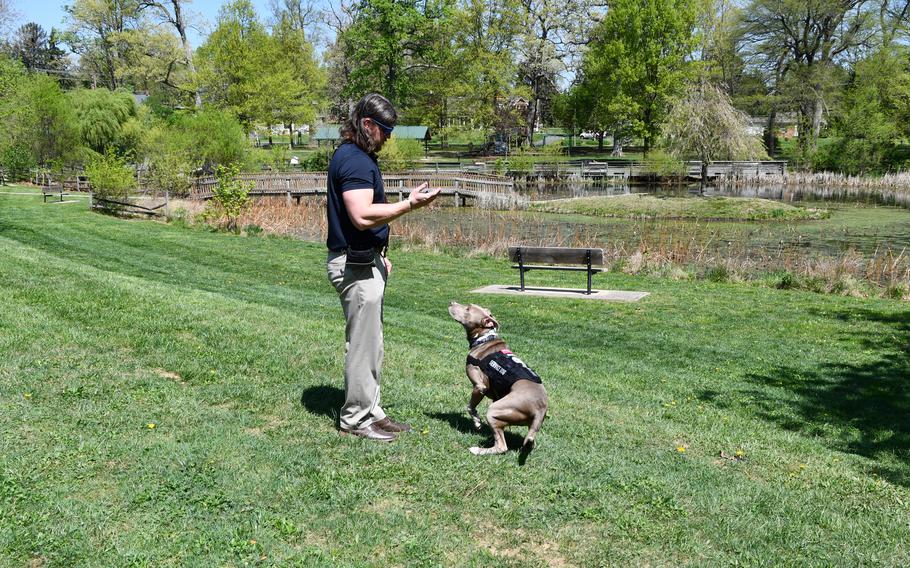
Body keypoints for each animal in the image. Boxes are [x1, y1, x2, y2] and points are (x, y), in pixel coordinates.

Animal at [448, 302, 548, 458]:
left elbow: (470, 406)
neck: (484, 338)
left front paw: (477, 422)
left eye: (468, 308)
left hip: (494, 411)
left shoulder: (479, 386)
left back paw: (478, 450)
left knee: (502, 446)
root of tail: (541, 408)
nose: (451, 302)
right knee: (529, 443)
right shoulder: (496, 396)